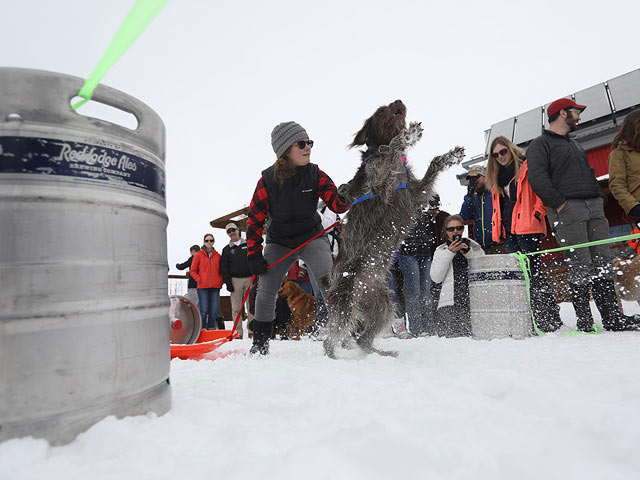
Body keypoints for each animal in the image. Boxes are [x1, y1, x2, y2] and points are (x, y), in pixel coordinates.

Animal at [324, 99, 464, 358]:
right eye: (381, 111)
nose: (398, 101)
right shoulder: (381, 185)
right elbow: (392, 148)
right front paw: (409, 136)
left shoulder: (417, 193)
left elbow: (433, 163)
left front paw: (451, 156)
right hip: (346, 301)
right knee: (330, 339)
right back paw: (334, 358)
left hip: (384, 305)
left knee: (363, 340)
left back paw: (380, 354)